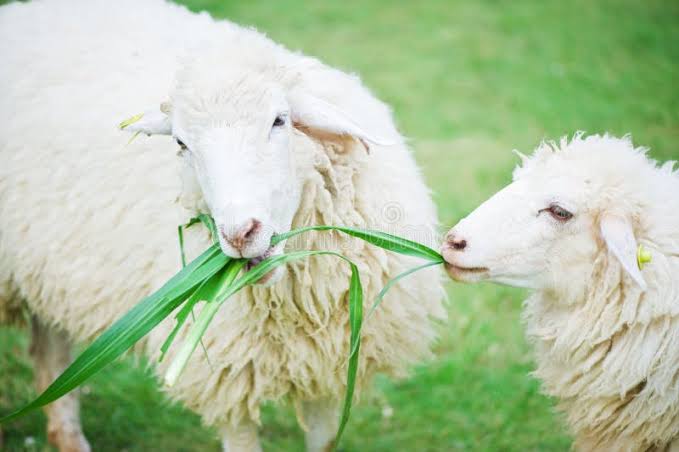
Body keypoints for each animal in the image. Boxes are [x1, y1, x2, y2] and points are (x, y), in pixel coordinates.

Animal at [0, 0, 446, 450]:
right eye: (181, 143)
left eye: (279, 120)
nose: (240, 234)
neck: (295, 302)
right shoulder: (225, 371)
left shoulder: (329, 361)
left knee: (51, 351)